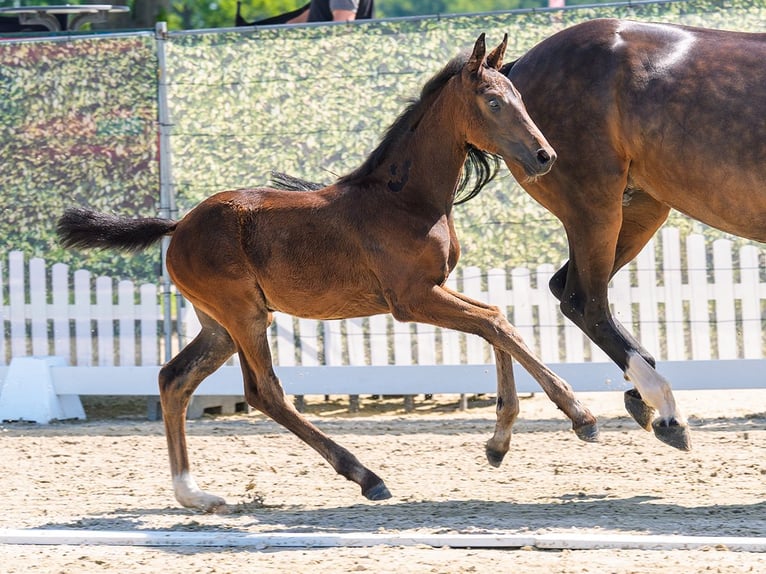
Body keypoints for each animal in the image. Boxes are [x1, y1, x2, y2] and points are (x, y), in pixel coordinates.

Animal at [58, 34, 599, 513]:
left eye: (520, 98)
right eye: (493, 101)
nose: (545, 156)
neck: (404, 200)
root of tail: (179, 224)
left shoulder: (435, 289)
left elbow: (496, 320)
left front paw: (498, 443)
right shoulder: (410, 300)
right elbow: (496, 324)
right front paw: (579, 417)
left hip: (218, 325)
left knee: (174, 379)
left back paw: (195, 495)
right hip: (245, 315)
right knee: (264, 392)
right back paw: (366, 476)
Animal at [501, 19, 766, 451]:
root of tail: (520, 65)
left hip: (639, 210)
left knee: (567, 289)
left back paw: (642, 398)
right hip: (596, 206)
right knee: (584, 302)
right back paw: (666, 410)